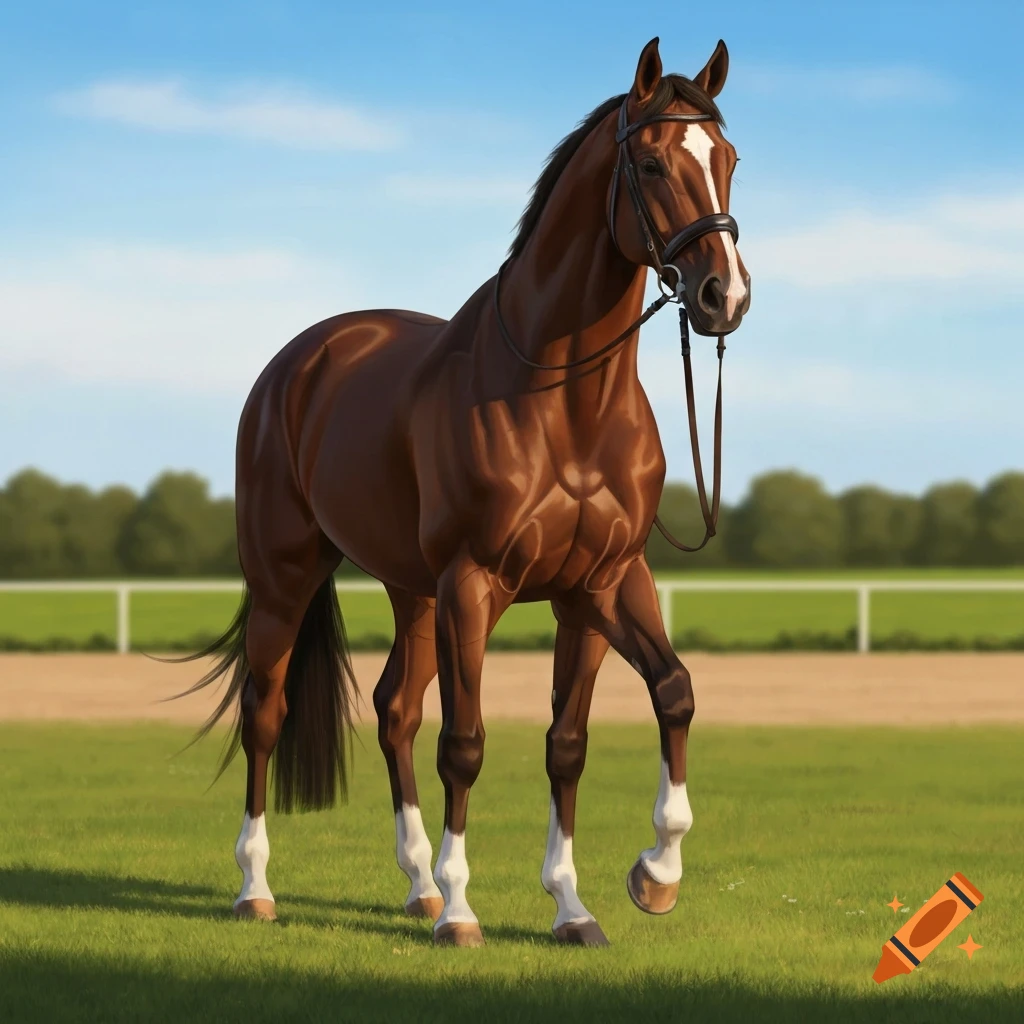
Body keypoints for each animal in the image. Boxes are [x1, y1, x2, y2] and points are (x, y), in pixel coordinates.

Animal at [182, 35, 750, 948]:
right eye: (653, 162)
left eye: (728, 159)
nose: (722, 296)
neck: (563, 397)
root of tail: (298, 363)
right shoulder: (474, 584)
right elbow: (469, 742)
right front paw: (462, 910)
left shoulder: (600, 584)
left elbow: (620, 718)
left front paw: (622, 888)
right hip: (286, 577)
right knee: (267, 713)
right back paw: (258, 889)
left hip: (412, 591)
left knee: (393, 711)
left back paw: (415, 885)